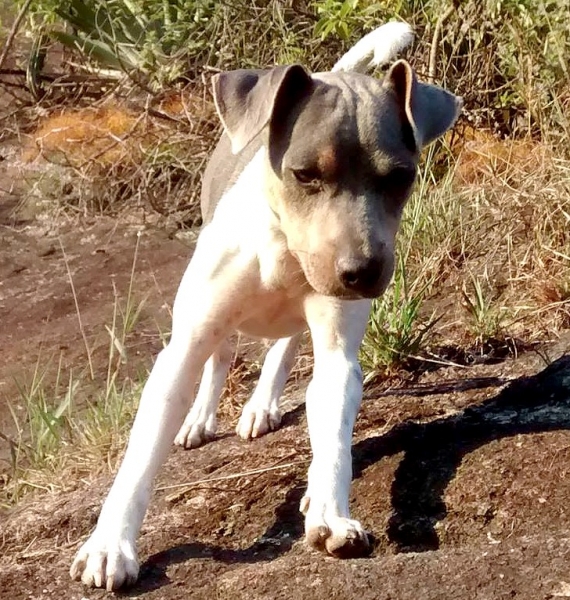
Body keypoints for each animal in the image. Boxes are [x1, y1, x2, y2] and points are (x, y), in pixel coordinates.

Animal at [71, 22, 462, 592]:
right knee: (221, 356)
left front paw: (330, 514)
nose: (362, 272)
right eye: (305, 174)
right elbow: (140, 457)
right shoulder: (183, 346)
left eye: (399, 177)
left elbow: (334, 439)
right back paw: (201, 419)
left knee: (284, 348)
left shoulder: (338, 356)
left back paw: (267, 413)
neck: (283, 248)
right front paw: (109, 546)